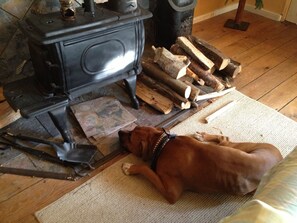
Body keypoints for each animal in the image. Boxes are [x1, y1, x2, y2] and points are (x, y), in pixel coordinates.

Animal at [117, 125, 280, 204]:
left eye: (130, 136)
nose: (119, 132)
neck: (163, 144)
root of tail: (279, 157)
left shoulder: (171, 193)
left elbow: (146, 169)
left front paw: (129, 168)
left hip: (239, 149)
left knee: (225, 139)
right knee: (223, 139)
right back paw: (202, 136)